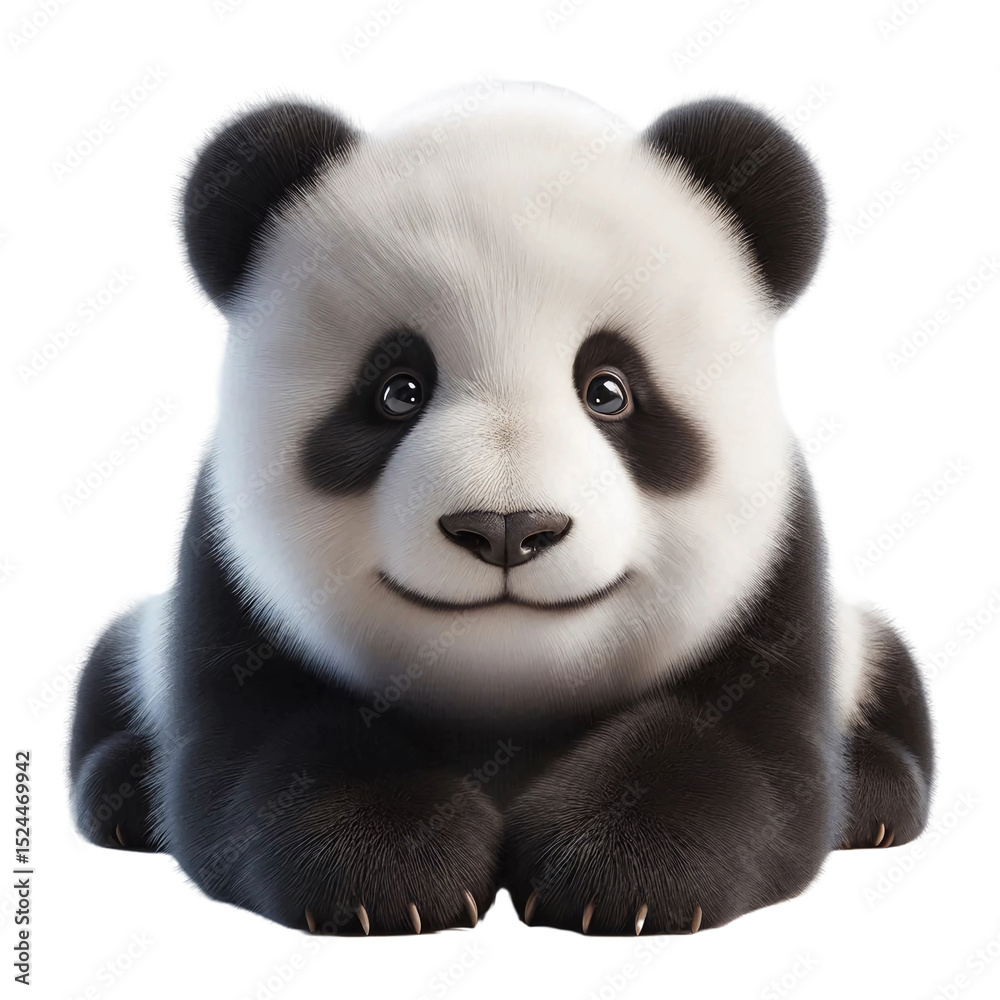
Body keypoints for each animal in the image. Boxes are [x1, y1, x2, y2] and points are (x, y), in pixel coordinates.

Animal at [69, 81, 934, 937]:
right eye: (398, 390)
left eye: (609, 390)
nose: (507, 529)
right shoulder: (229, 583)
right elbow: (262, 750)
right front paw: (393, 870)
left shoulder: (776, 578)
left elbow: (744, 749)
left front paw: (618, 872)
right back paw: (123, 793)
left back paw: (877, 794)